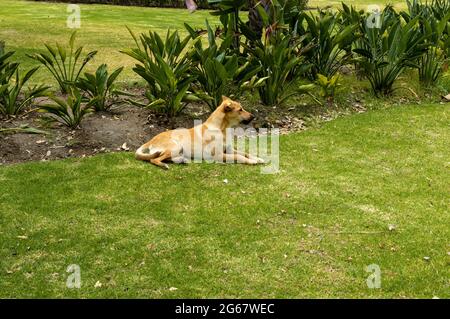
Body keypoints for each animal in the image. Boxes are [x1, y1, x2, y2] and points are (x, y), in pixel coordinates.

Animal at [135, 95, 266, 169]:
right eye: (240, 110)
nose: (254, 116)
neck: (222, 128)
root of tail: (151, 140)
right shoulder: (219, 155)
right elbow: (239, 156)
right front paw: (252, 161)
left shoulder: (229, 150)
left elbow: (245, 152)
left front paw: (257, 158)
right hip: (175, 146)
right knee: (154, 159)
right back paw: (164, 165)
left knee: (167, 158)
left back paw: (182, 160)